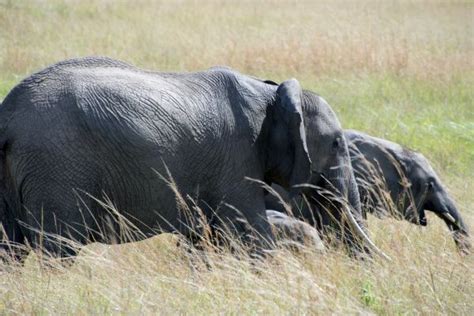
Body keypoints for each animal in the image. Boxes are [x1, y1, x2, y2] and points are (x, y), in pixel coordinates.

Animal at [0, 57, 378, 262]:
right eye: (337, 143)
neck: (269, 93)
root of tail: (7, 114)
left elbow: (202, 239)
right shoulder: (237, 159)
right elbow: (253, 233)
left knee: (9, 250)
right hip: (56, 168)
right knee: (58, 249)